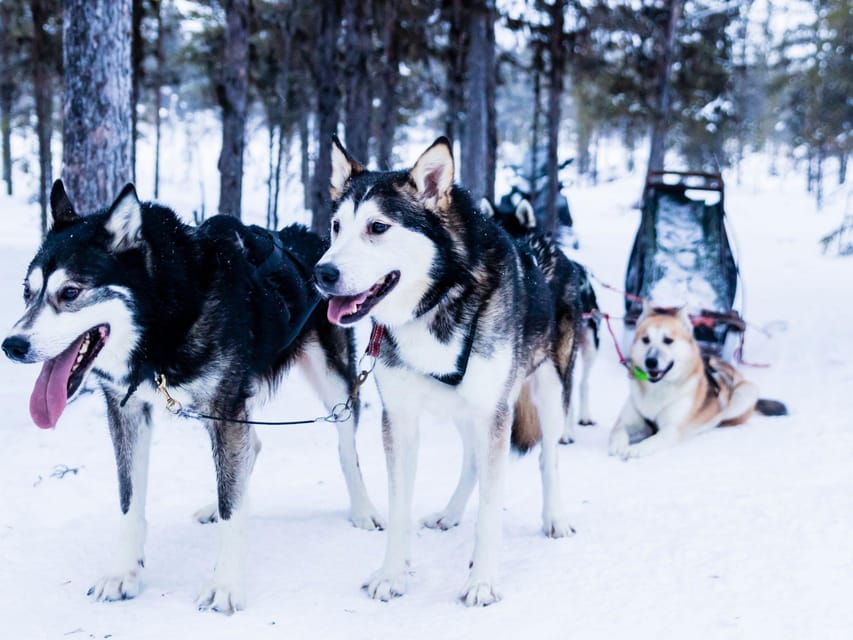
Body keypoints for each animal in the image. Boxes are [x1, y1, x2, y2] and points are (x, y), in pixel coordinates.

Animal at [0, 180, 380, 616]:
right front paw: (123, 573)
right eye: (27, 292)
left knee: (345, 448)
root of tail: (312, 239)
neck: (166, 320)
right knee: (250, 449)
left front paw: (225, 585)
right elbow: (130, 499)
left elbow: (234, 507)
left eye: (70, 292)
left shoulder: (225, 408)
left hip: (332, 384)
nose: (12, 345)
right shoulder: (128, 410)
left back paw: (363, 509)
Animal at [312, 134, 572, 604]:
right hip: (464, 411)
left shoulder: (495, 413)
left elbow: (491, 509)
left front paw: (482, 581)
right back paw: (450, 513)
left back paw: (555, 518)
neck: (437, 301)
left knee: (549, 457)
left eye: (378, 227)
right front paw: (391, 575)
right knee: (471, 460)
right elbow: (399, 506)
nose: (322, 272)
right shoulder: (399, 418)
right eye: (337, 227)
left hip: (547, 392)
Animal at [604, 302, 784, 458]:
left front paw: (637, 448)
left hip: (746, 392)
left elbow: (652, 440)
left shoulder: (671, 430)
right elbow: (618, 431)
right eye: (646, 339)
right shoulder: (626, 422)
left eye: (668, 340)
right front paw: (619, 445)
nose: (651, 361)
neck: (656, 390)